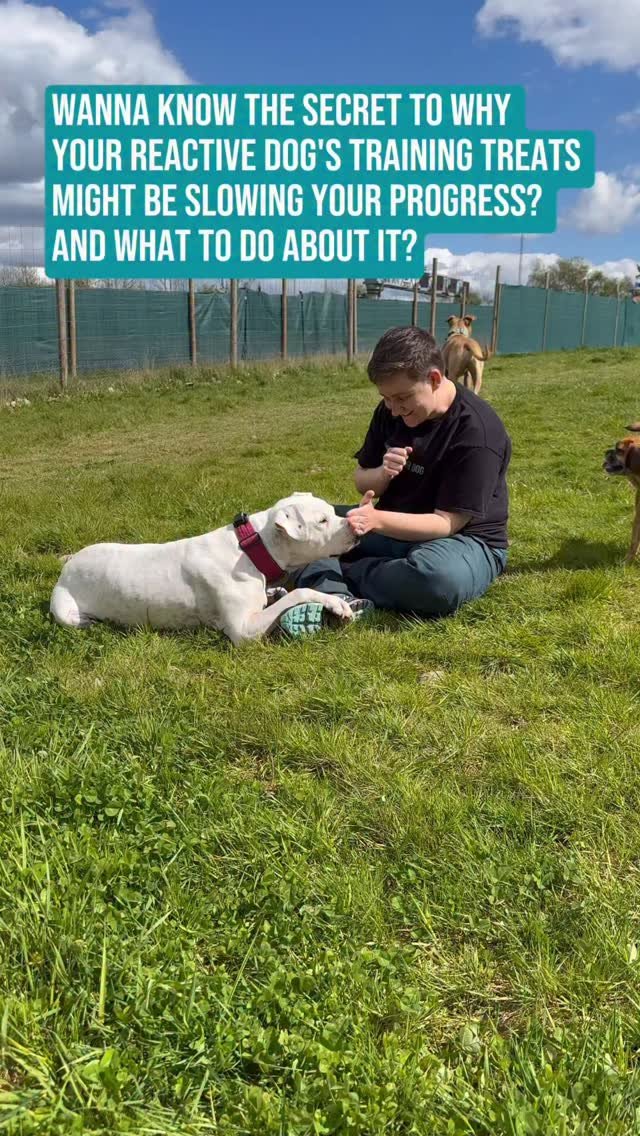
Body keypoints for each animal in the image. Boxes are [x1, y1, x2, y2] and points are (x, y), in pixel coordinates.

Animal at [50, 493, 357, 644]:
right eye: (322, 521)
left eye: (332, 511)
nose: (355, 526)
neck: (251, 549)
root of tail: (68, 566)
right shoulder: (244, 631)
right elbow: (299, 592)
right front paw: (335, 603)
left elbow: (282, 593)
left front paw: (276, 592)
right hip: (66, 612)